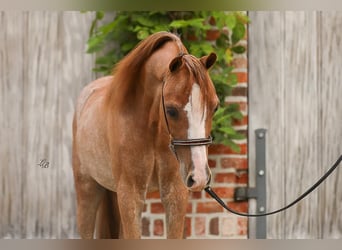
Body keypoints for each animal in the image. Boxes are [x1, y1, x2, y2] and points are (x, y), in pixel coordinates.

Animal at [72, 31, 219, 238]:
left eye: (215, 107)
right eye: (171, 110)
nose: (199, 177)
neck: (152, 129)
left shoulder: (176, 194)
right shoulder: (131, 195)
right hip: (87, 190)